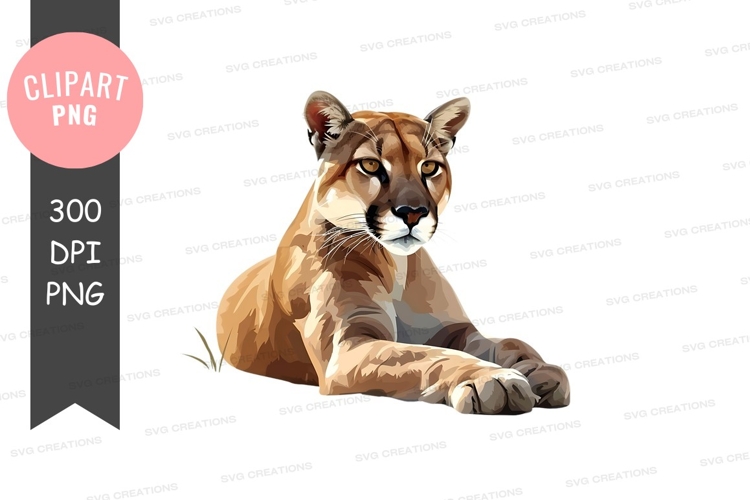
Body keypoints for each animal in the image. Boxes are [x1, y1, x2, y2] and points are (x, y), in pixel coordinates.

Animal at [216, 91, 570, 414]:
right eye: (371, 165)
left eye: (429, 167)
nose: (412, 213)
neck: (396, 266)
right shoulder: (349, 346)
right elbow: (424, 355)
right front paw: (491, 379)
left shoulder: (454, 330)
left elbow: (510, 343)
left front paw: (541, 370)